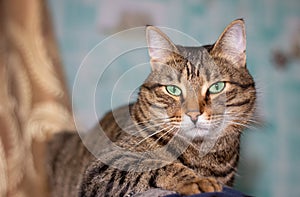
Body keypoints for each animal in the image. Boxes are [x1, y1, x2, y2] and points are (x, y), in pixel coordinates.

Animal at [47, 18, 255, 197]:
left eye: (216, 87)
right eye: (173, 89)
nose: (194, 114)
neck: (200, 156)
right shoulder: (102, 168)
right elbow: (156, 165)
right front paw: (195, 180)